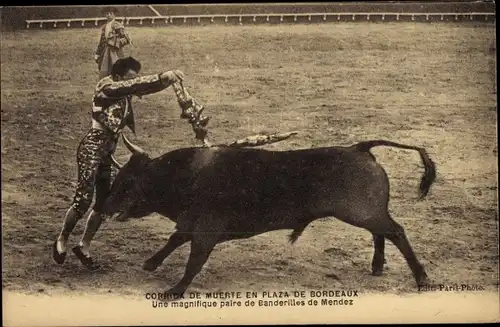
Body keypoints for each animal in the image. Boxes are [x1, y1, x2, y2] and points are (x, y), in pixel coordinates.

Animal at [103, 136, 436, 298]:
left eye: (128, 182)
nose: (102, 206)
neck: (186, 175)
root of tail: (359, 148)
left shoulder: (206, 230)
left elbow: (193, 261)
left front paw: (175, 291)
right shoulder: (191, 223)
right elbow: (174, 240)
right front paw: (150, 263)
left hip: (363, 212)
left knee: (396, 232)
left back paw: (422, 278)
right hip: (367, 213)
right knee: (382, 233)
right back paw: (377, 267)